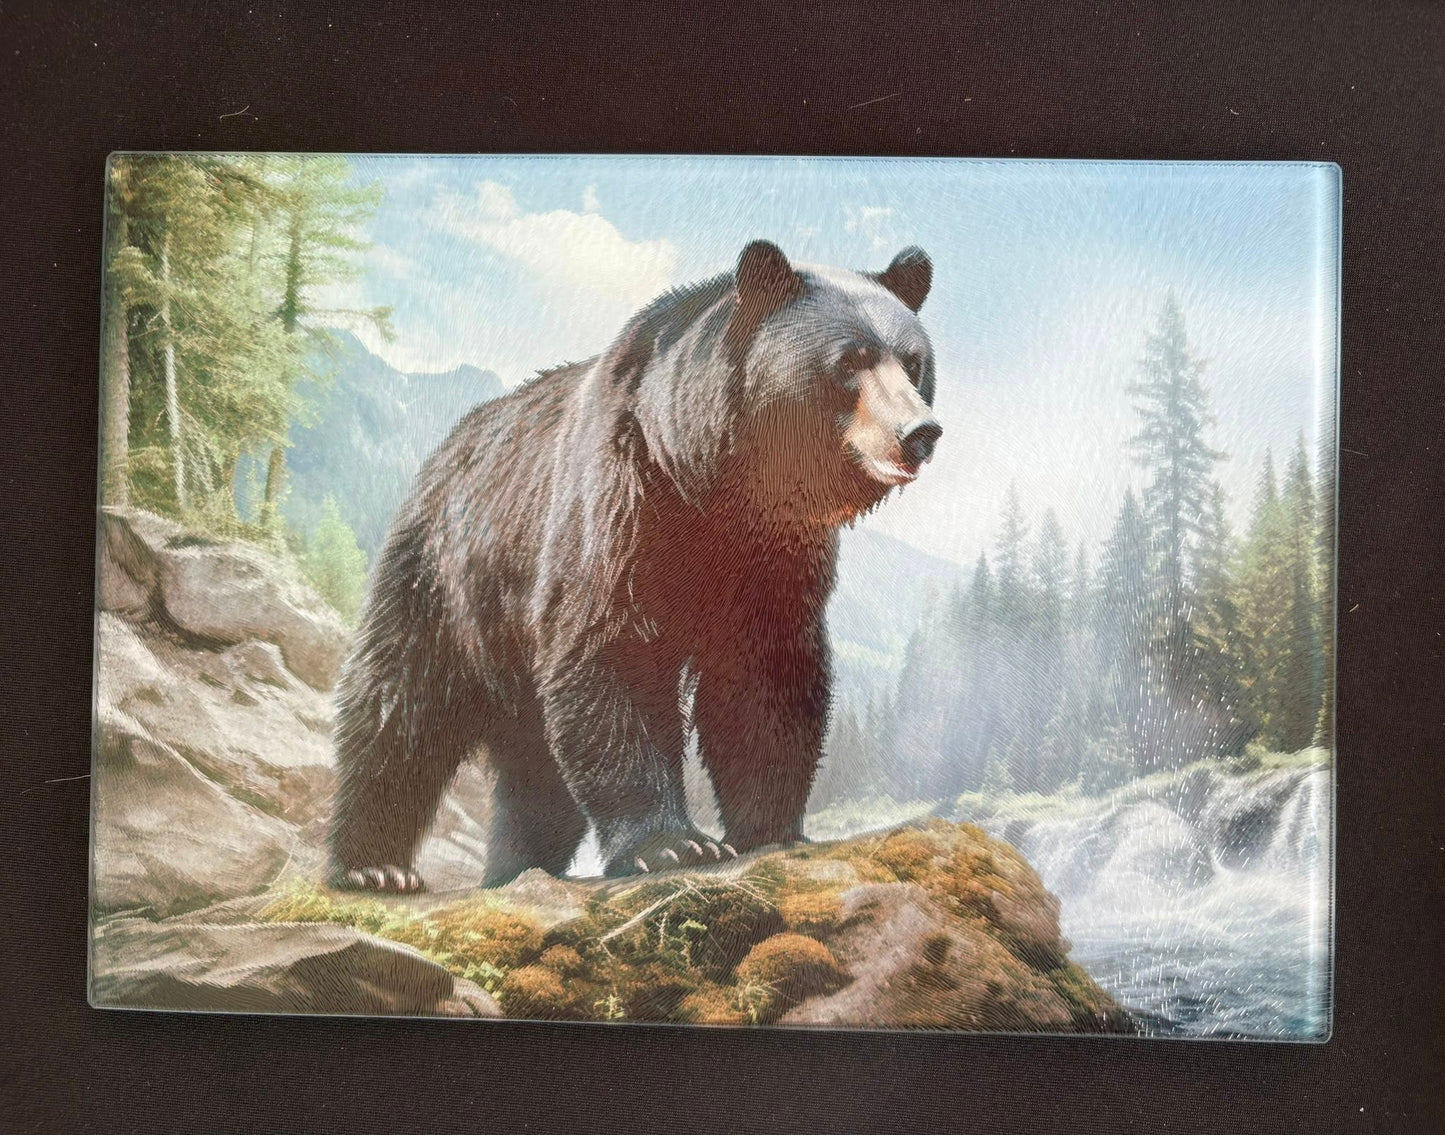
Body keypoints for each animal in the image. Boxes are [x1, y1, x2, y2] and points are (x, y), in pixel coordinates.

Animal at [328, 239, 941, 891]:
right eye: (850, 360)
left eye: (913, 362)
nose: (919, 431)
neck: (716, 486)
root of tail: (444, 450)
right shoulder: (621, 511)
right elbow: (613, 661)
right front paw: (671, 844)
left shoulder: (777, 559)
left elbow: (767, 680)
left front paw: (770, 828)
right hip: (448, 577)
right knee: (399, 707)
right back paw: (373, 865)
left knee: (534, 773)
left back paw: (514, 867)